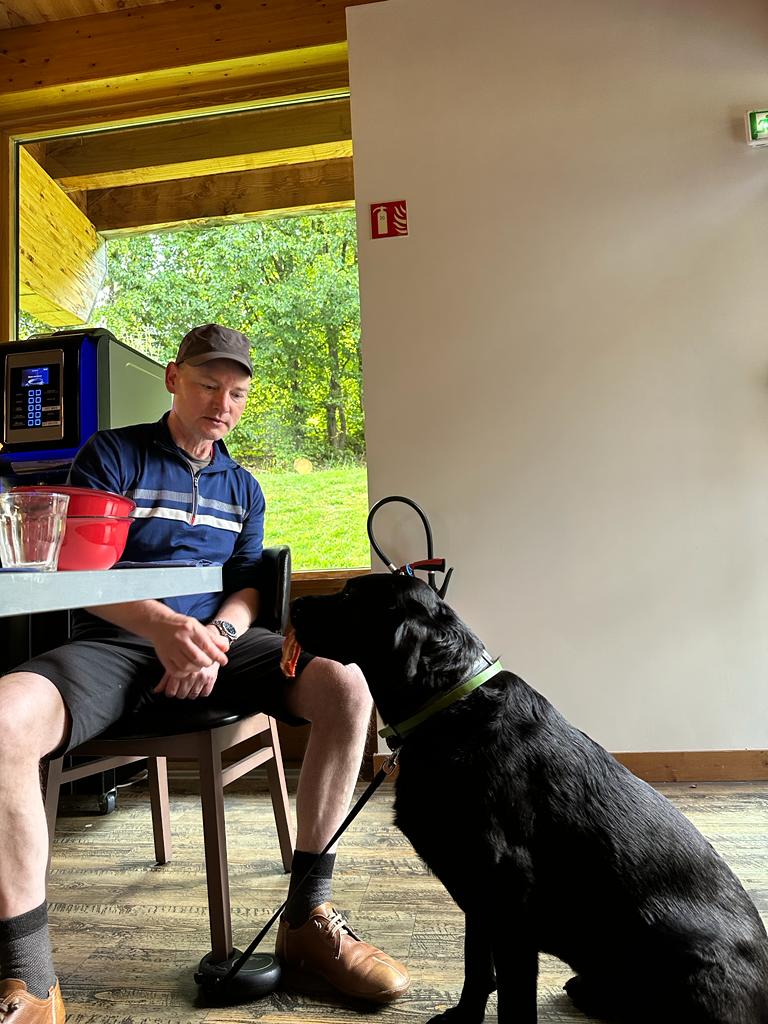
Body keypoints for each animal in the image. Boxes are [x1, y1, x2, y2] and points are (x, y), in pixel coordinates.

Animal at [290, 577, 768, 1024]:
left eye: (350, 596)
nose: (292, 603)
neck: (451, 706)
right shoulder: (478, 894)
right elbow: (476, 967)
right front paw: (463, 1017)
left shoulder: (508, 899)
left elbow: (513, 998)